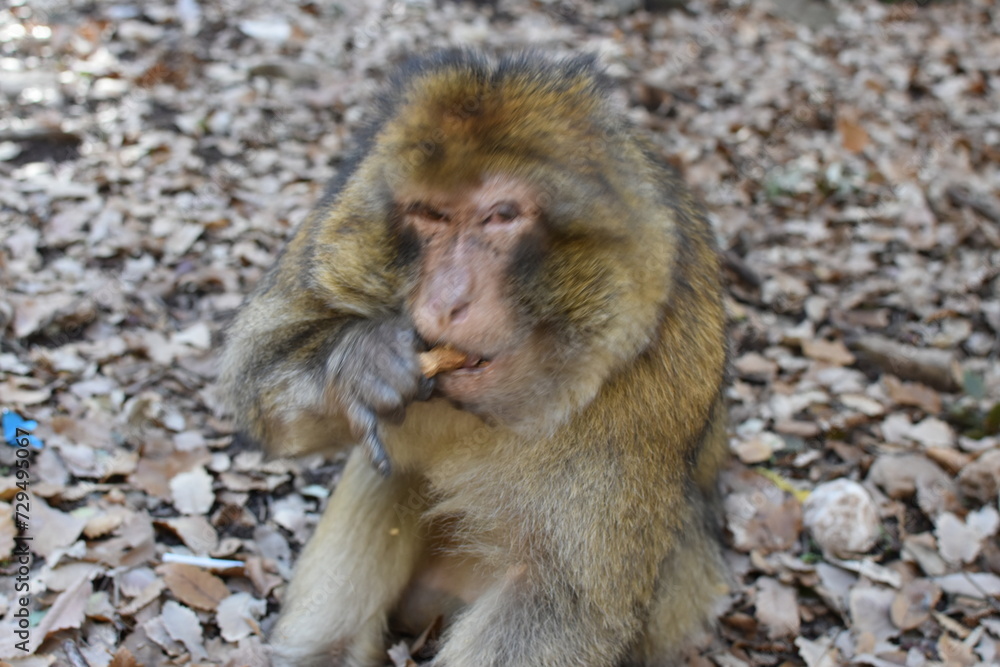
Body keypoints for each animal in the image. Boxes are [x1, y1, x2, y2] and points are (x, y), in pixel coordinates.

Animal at [219, 51, 730, 667]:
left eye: (501, 216)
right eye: (430, 215)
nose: (447, 300)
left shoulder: (648, 370)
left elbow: (557, 598)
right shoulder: (335, 229)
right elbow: (255, 371)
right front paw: (361, 362)